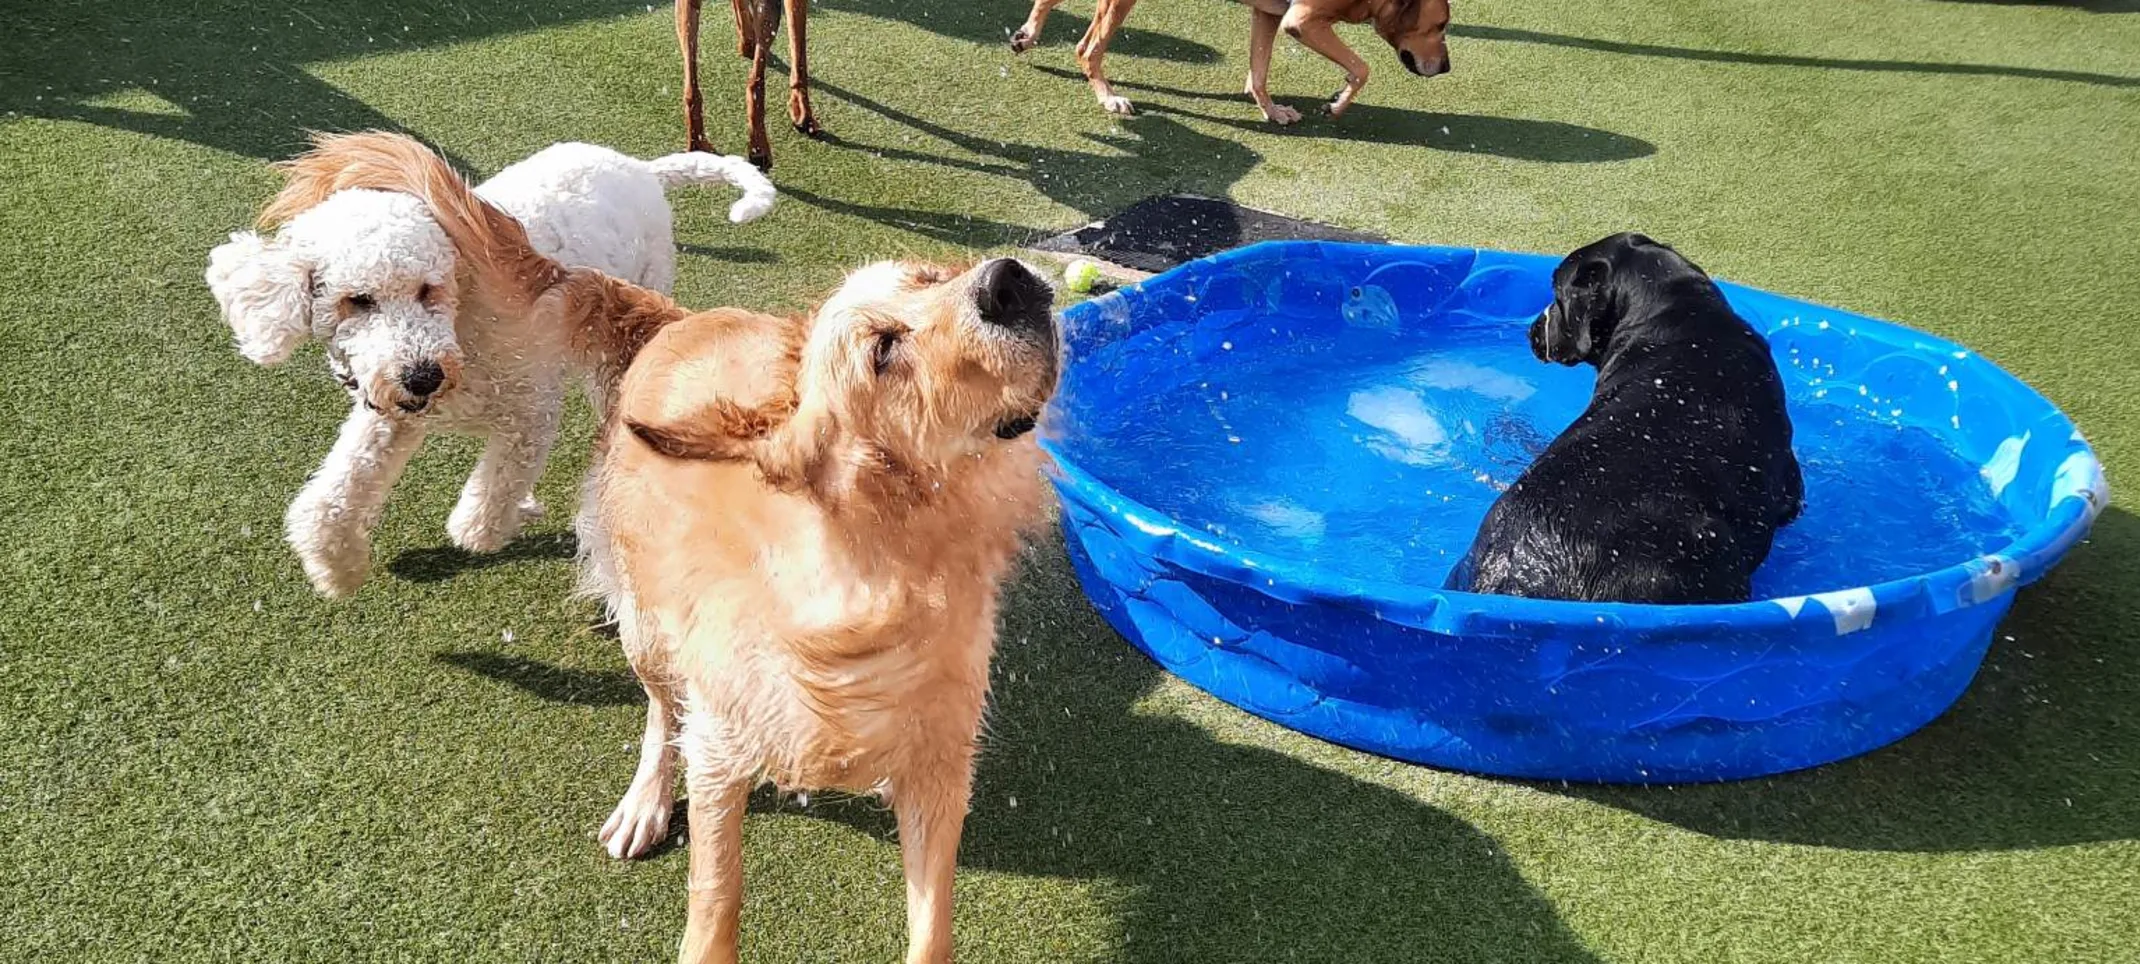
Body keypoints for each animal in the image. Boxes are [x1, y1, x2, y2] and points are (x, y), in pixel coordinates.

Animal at [206, 127, 778, 595]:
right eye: (357, 300)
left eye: (429, 289)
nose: (422, 377)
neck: (462, 328)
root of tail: (640, 167)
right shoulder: (389, 420)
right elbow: (325, 504)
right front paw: (338, 571)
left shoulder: (530, 414)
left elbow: (477, 521)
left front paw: (517, 514)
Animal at [265, 130, 1061, 964]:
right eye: (882, 349)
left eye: (932, 276)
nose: (1007, 278)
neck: (873, 572)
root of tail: (674, 318)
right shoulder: (720, 751)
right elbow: (716, 896)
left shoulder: (940, 774)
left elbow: (929, 928)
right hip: (647, 630)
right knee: (659, 712)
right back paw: (645, 801)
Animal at [1005, 0, 1455, 124]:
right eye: (1442, 25)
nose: (1448, 68)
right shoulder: (1303, 20)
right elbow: (1362, 68)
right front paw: (1338, 103)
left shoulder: (1269, 15)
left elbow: (1259, 71)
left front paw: (1272, 110)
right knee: (1087, 49)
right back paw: (1108, 97)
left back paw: (1027, 35)